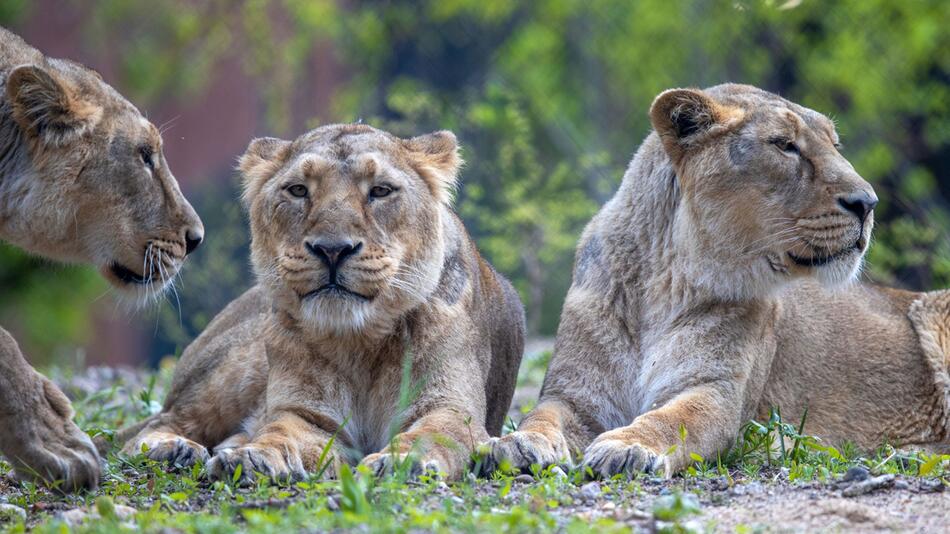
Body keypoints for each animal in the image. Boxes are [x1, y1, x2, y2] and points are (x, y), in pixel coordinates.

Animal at [119, 123, 528, 484]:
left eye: (381, 190)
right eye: (298, 190)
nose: (332, 249)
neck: (362, 344)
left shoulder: (451, 410)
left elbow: (426, 437)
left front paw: (399, 463)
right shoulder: (308, 416)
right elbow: (279, 432)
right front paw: (253, 458)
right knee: (158, 423)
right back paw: (174, 449)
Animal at [484, 85, 950, 482]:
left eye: (835, 146)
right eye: (784, 144)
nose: (868, 203)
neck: (664, 285)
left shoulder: (715, 391)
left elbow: (672, 420)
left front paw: (630, 447)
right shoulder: (575, 394)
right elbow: (542, 416)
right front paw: (518, 443)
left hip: (931, 310)